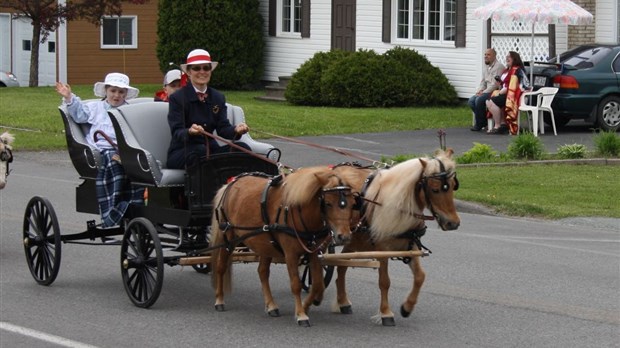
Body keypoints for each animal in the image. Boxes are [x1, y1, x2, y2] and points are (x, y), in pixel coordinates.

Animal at [211, 166, 358, 326]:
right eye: (328, 203)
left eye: (352, 204)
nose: (344, 236)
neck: (298, 211)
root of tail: (231, 183)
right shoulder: (291, 253)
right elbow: (296, 284)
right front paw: (301, 314)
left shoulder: (314, 251)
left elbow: (318, 284)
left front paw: (307, 306)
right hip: (228, 238)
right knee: (221, 267)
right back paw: (219, 300)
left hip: (265, 244)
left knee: (262, 272)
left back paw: (271, 305)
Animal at [330, 148, 460, 324]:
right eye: (435, 189)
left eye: (453, 186)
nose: (453, 223)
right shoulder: (382, 251)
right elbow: (384, 282)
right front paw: (386, 312)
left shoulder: (411, 246)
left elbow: (420, 276)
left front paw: (407, 307)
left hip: (354, 242)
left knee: (341, 266)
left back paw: (343, 302)